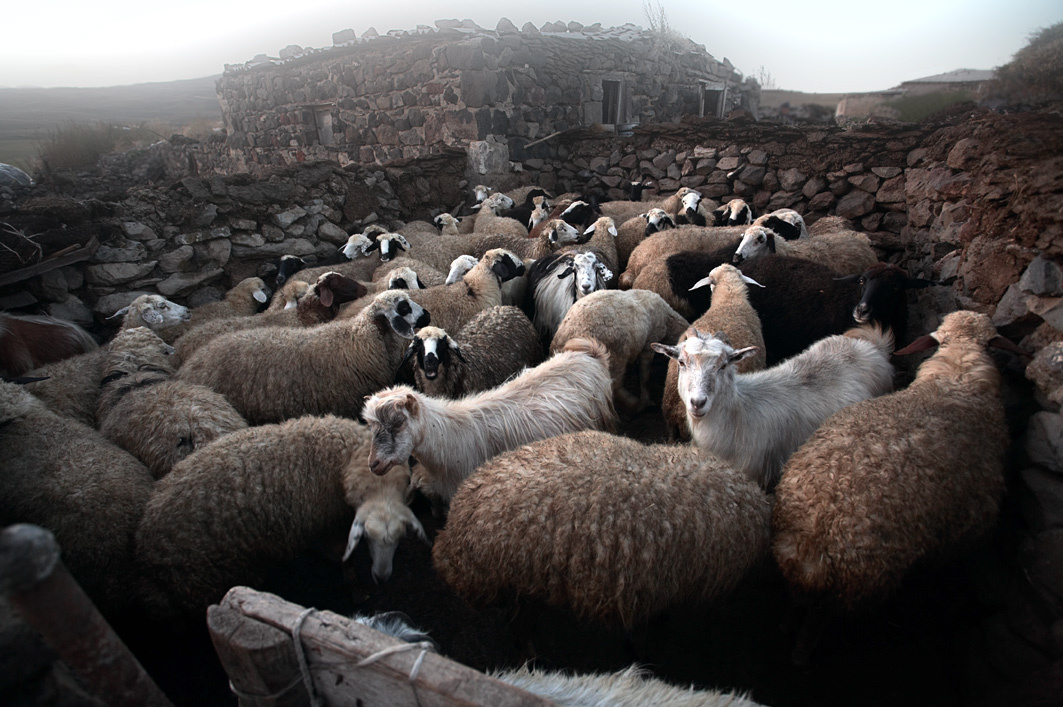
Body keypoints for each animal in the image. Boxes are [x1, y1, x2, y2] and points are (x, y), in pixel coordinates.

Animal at [135, 415, 422, 618]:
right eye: (368, 537)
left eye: (400, 537)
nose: (382, 578)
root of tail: (145, 542)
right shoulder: (328, 524)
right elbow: (345, 560)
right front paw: (357, 591)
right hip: (207, 582)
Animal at [551, 289, 688, 413]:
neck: (669, 321)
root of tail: (563, 339)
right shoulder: (648, 344)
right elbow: (645, 377)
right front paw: (646, 400)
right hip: (617, 354)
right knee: (615, 385)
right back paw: (634, 404)